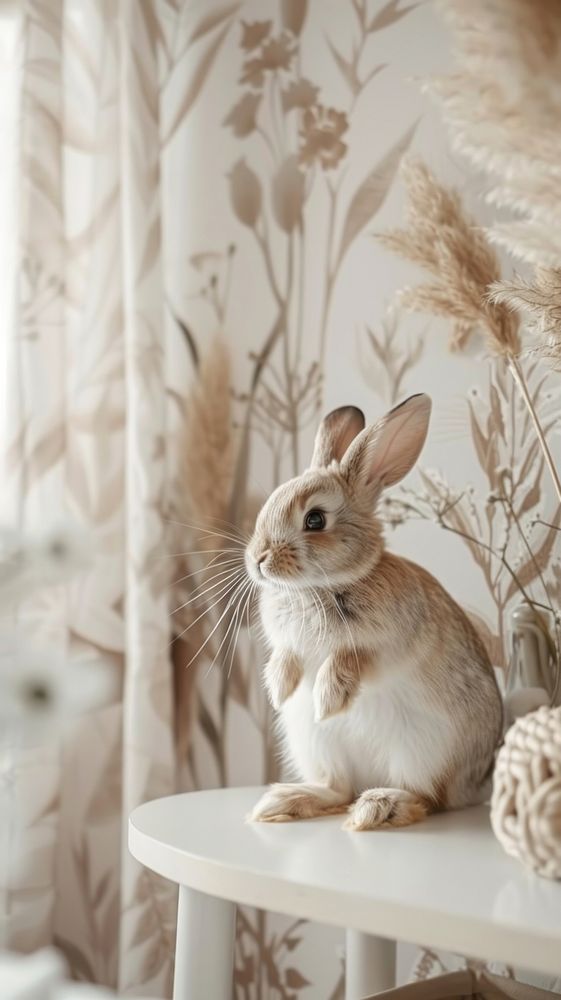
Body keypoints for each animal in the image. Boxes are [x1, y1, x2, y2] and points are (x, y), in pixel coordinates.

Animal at [245, 394, 503, 830]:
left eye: (315, 519)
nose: (258, 559)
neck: (319, 587)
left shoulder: (387, 646)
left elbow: (351, 658)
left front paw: (329, 699)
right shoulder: (288, 644)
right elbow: (287, 657)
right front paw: (280, 690)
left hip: (424, 752)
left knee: (427, 797)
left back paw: (378, 807)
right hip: (317, 744)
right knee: (338, 788)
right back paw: (285, 801)